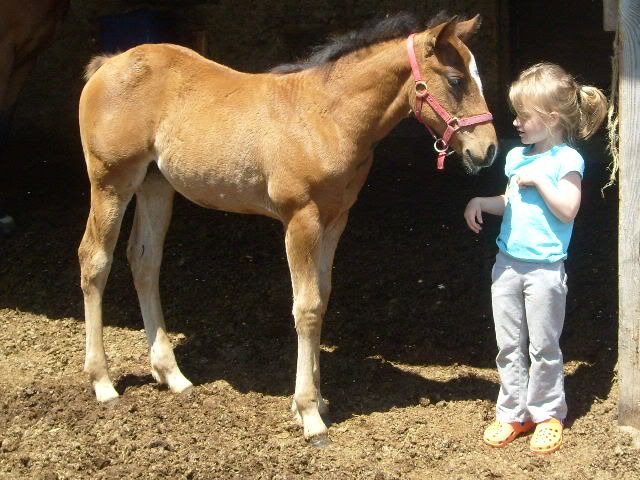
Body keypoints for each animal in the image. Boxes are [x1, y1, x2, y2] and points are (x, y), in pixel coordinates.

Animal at [77, 12, 498, 446]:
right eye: (456, 80)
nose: (487, 150)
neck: (326, 117)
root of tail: (108, 63)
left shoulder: (336, 219)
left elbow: (322, 298)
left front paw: (318, 401)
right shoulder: (301, 218)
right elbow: (306, 307)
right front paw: (310, 415)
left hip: (155, 184)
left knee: (144, 261)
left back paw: (173, 375)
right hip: (111, 181)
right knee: (94, 260)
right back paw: (103, 382)